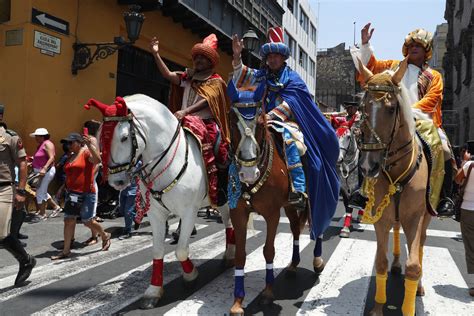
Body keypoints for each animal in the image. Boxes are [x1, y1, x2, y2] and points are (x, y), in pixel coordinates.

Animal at [85, 95, 235, 310]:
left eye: (124, 137)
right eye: (99, 138)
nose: (116, 182)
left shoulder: (189, 212)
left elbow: (181, 250)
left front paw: (190, 276)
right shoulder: (156, 214)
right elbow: (157, 250)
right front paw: (153, 291)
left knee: (232, 224)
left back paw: (231, 256)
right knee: (229, 224)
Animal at [226, 82, 322, 314]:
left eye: (261, 124)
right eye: (232, 122)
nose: (248, 173)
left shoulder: (271, 214)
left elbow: (269, 251)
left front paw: (268, 293)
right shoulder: (238, 213)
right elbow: (240, 254)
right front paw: (238, 301)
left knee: (319, 225)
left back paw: (317, 261)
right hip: (289, 206)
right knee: (295, 228)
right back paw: (294, 264)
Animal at [358, 59, 432, 316]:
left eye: (391, 109)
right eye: (363, 108)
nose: (368, 166)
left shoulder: (415, 217)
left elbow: (414, 265)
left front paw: (409, 307)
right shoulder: (382, 217)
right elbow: (380, 262)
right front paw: (378, 307)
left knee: (421, 246)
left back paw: (419, 286)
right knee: (398, 233)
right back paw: (397, 264)